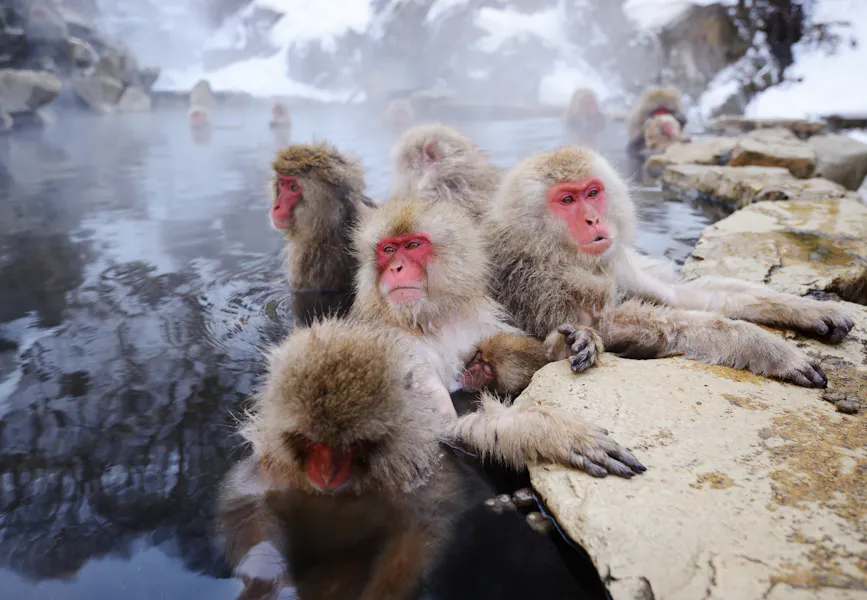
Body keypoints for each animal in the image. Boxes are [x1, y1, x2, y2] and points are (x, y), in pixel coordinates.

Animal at [349, 198, 643, 477]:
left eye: (412, 245)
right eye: (388, 250)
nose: (396, 268)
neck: (429, 319)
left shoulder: (481, 320)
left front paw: (574, 342)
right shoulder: (400, 347)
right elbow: (441, 429)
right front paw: (549, 432)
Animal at [484, 146, 855, 389]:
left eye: (591, 193)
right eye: (566, 200)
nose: (593, 220)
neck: (551, 249)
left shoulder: (616, 261)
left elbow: (679, 293)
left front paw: (807, 308)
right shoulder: (539, 281)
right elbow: (607, 326)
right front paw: (767, 348)